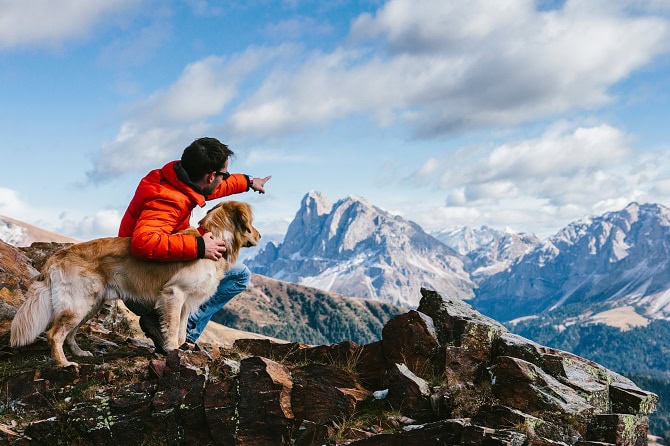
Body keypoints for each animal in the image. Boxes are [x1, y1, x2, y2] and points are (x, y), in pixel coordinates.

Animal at [11, 201, 262, 366]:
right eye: (251, 222)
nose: (260, 236)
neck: (214, 239)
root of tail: (57, 256)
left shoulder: (187, 302)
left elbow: (182, 331)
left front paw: (181, 349)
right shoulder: (174, 294)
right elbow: (172, 330)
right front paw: (172, 351)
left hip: (90, 305)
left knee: (69, 333)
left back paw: (80, 354)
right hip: (78, 303)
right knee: (54, 334)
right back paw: (64, 364)